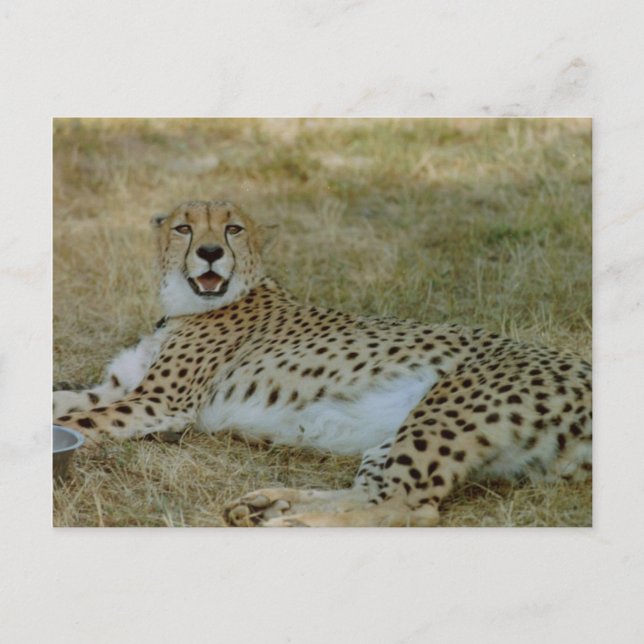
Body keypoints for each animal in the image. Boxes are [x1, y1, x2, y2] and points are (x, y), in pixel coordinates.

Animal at [54, 199, 592, 527]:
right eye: (184, 228)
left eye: (233, 229)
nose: (209, 253)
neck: (185, 306)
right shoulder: (122, 388)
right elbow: (65, 400)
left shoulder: (159, 402)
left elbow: (79, 421)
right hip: (401, 435)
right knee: (374, 492)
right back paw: (267, 504)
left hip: (444, 411)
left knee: (406, 506)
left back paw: (285, 520)